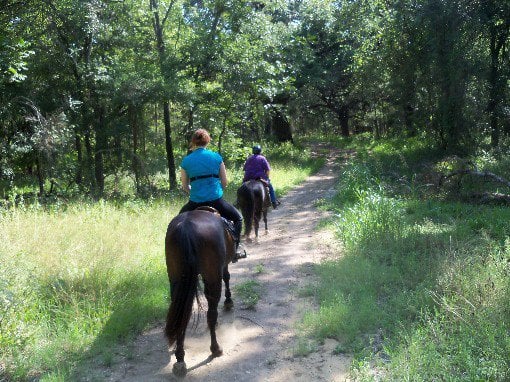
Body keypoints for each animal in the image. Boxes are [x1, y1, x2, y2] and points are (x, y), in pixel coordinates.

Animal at [163, 207, 235, 378]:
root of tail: (186, 228)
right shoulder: (222, 266)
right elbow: (227, 277)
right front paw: (229, 301)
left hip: (176, 280)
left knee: (182, 315)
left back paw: (180, 359)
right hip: (212, 276)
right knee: (211, 314)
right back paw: (215, 349)